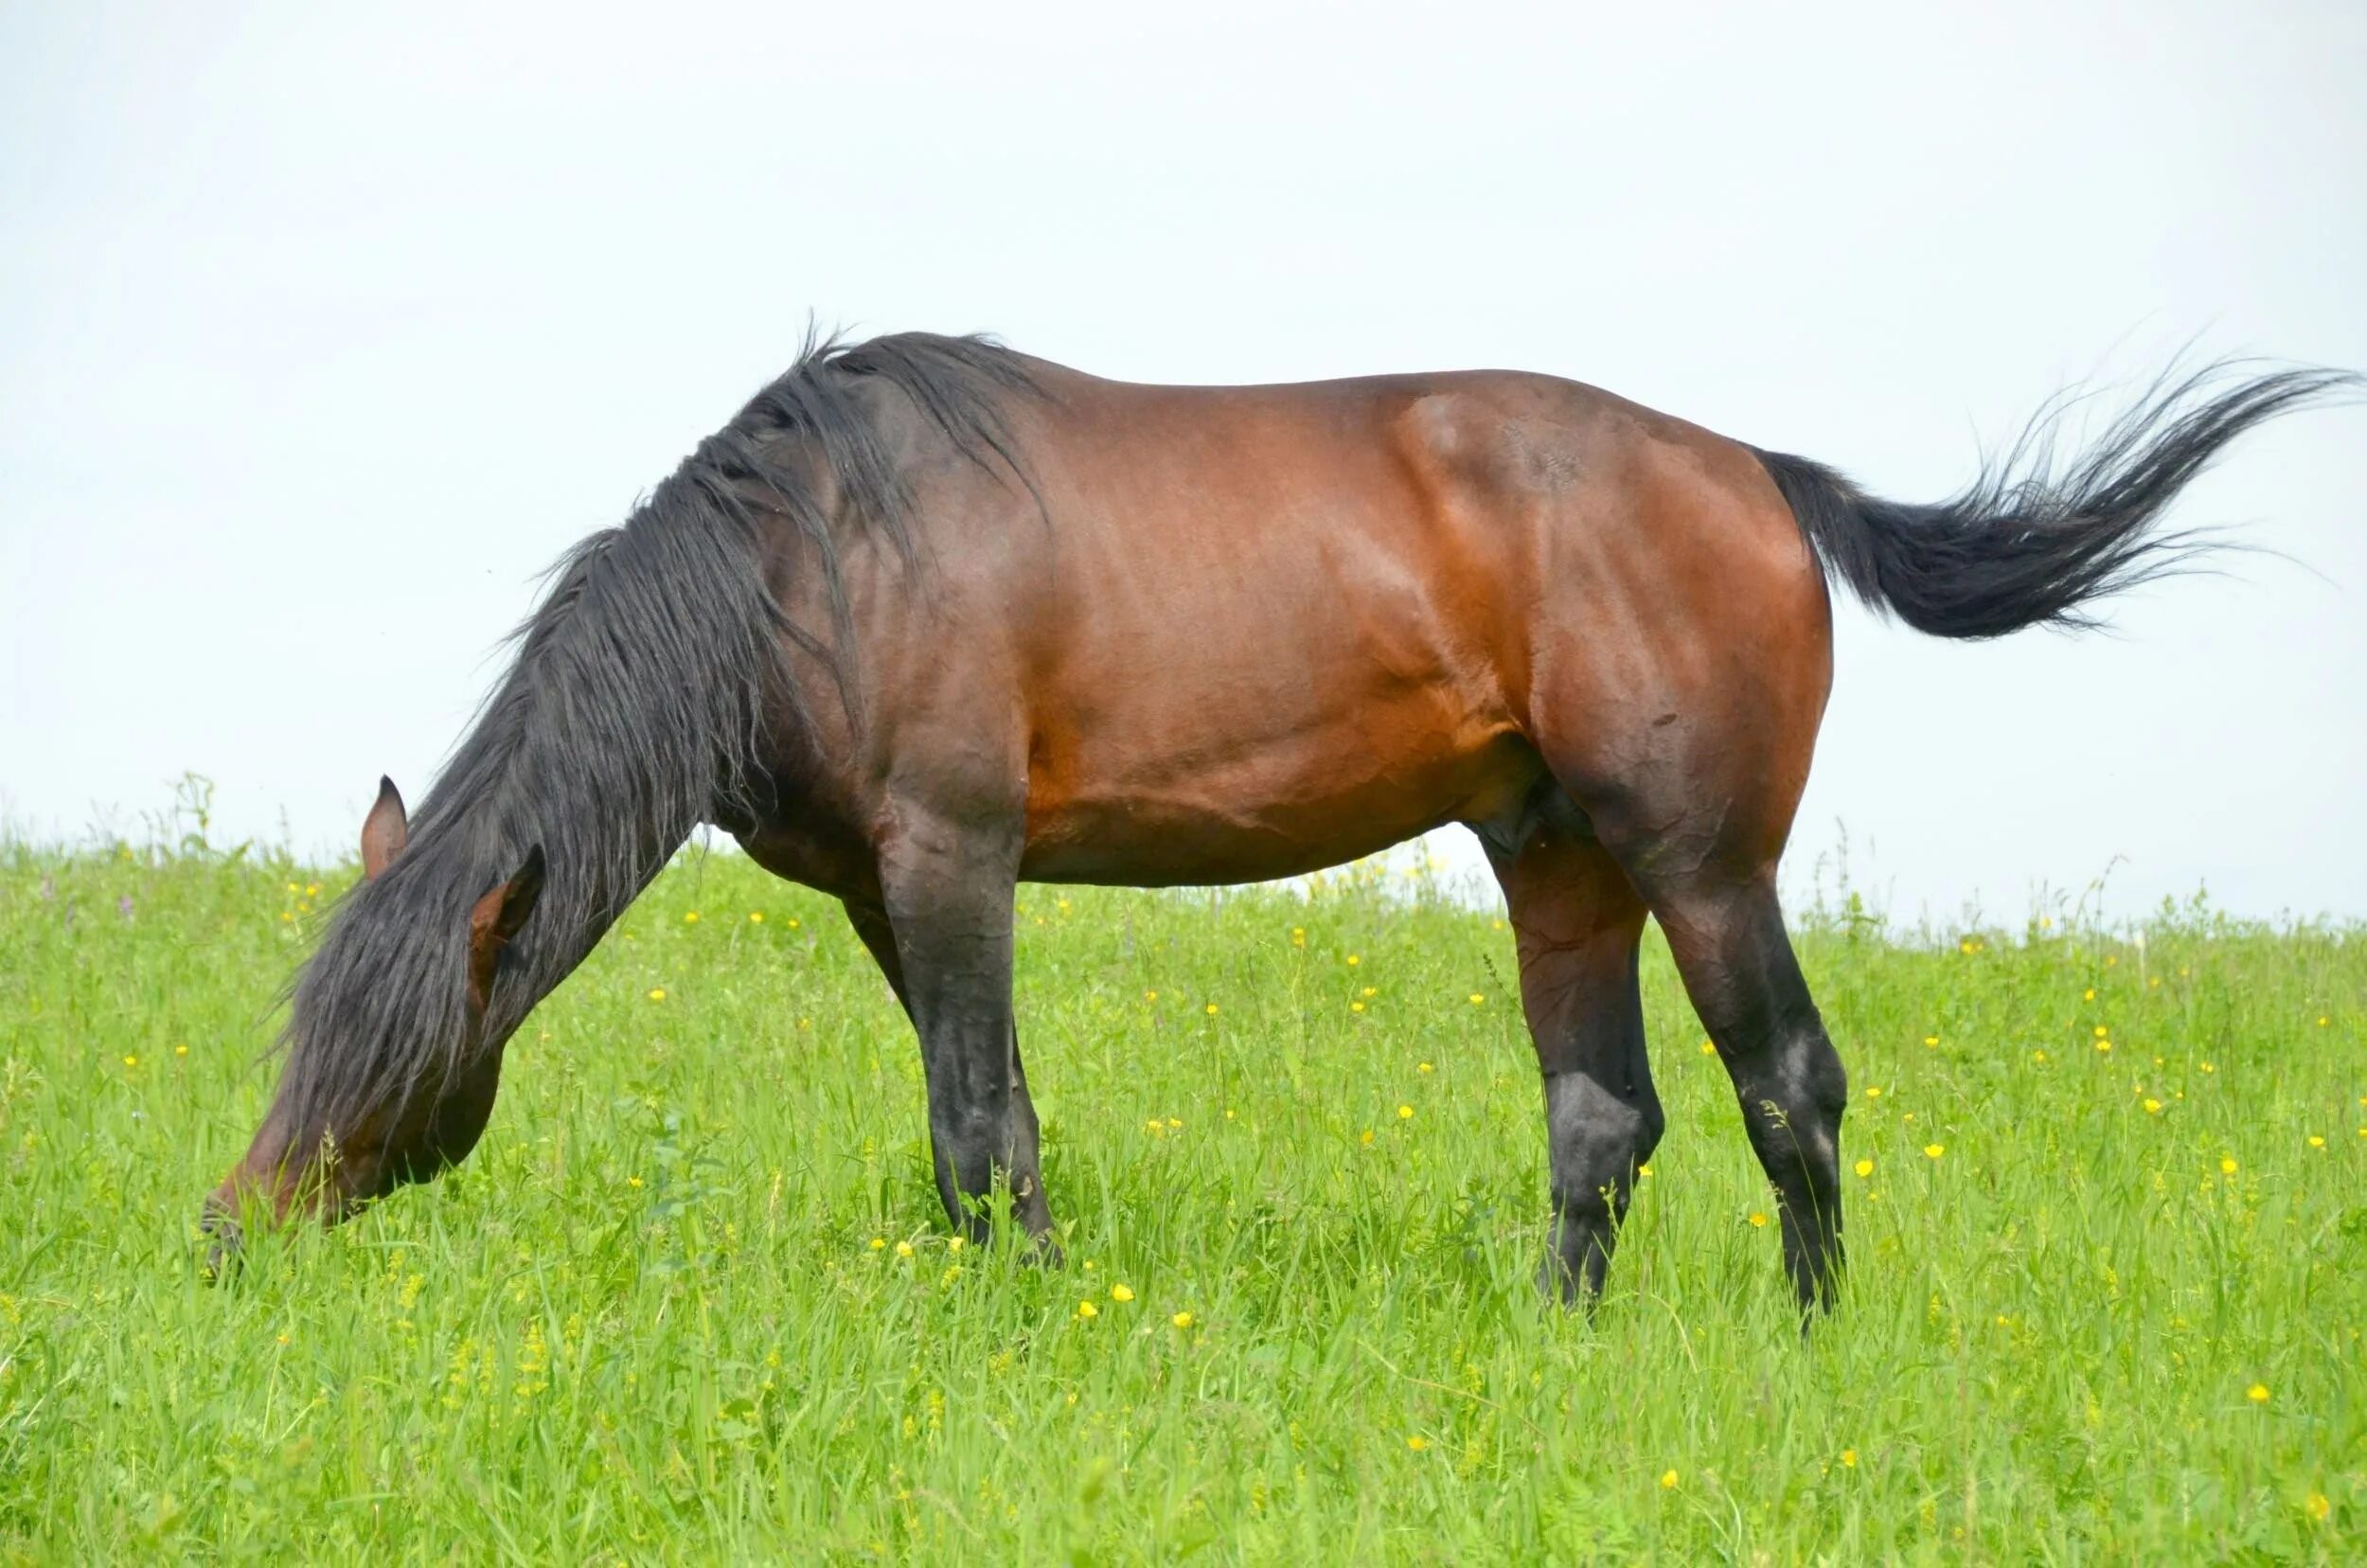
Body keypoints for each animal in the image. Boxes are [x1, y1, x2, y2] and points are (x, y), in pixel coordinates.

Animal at [204, 333, 2348, 1316]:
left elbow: (969, 1116)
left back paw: (1810, 1340)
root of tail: (1759, 473)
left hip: (1700, 866)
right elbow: (990, 1117)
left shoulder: (952, 857)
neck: (811, 564)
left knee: (1787, 1092)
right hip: (1558, 867)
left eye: (386, 1049)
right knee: (1603, 1119)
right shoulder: (899, 897)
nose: (231, 1228)